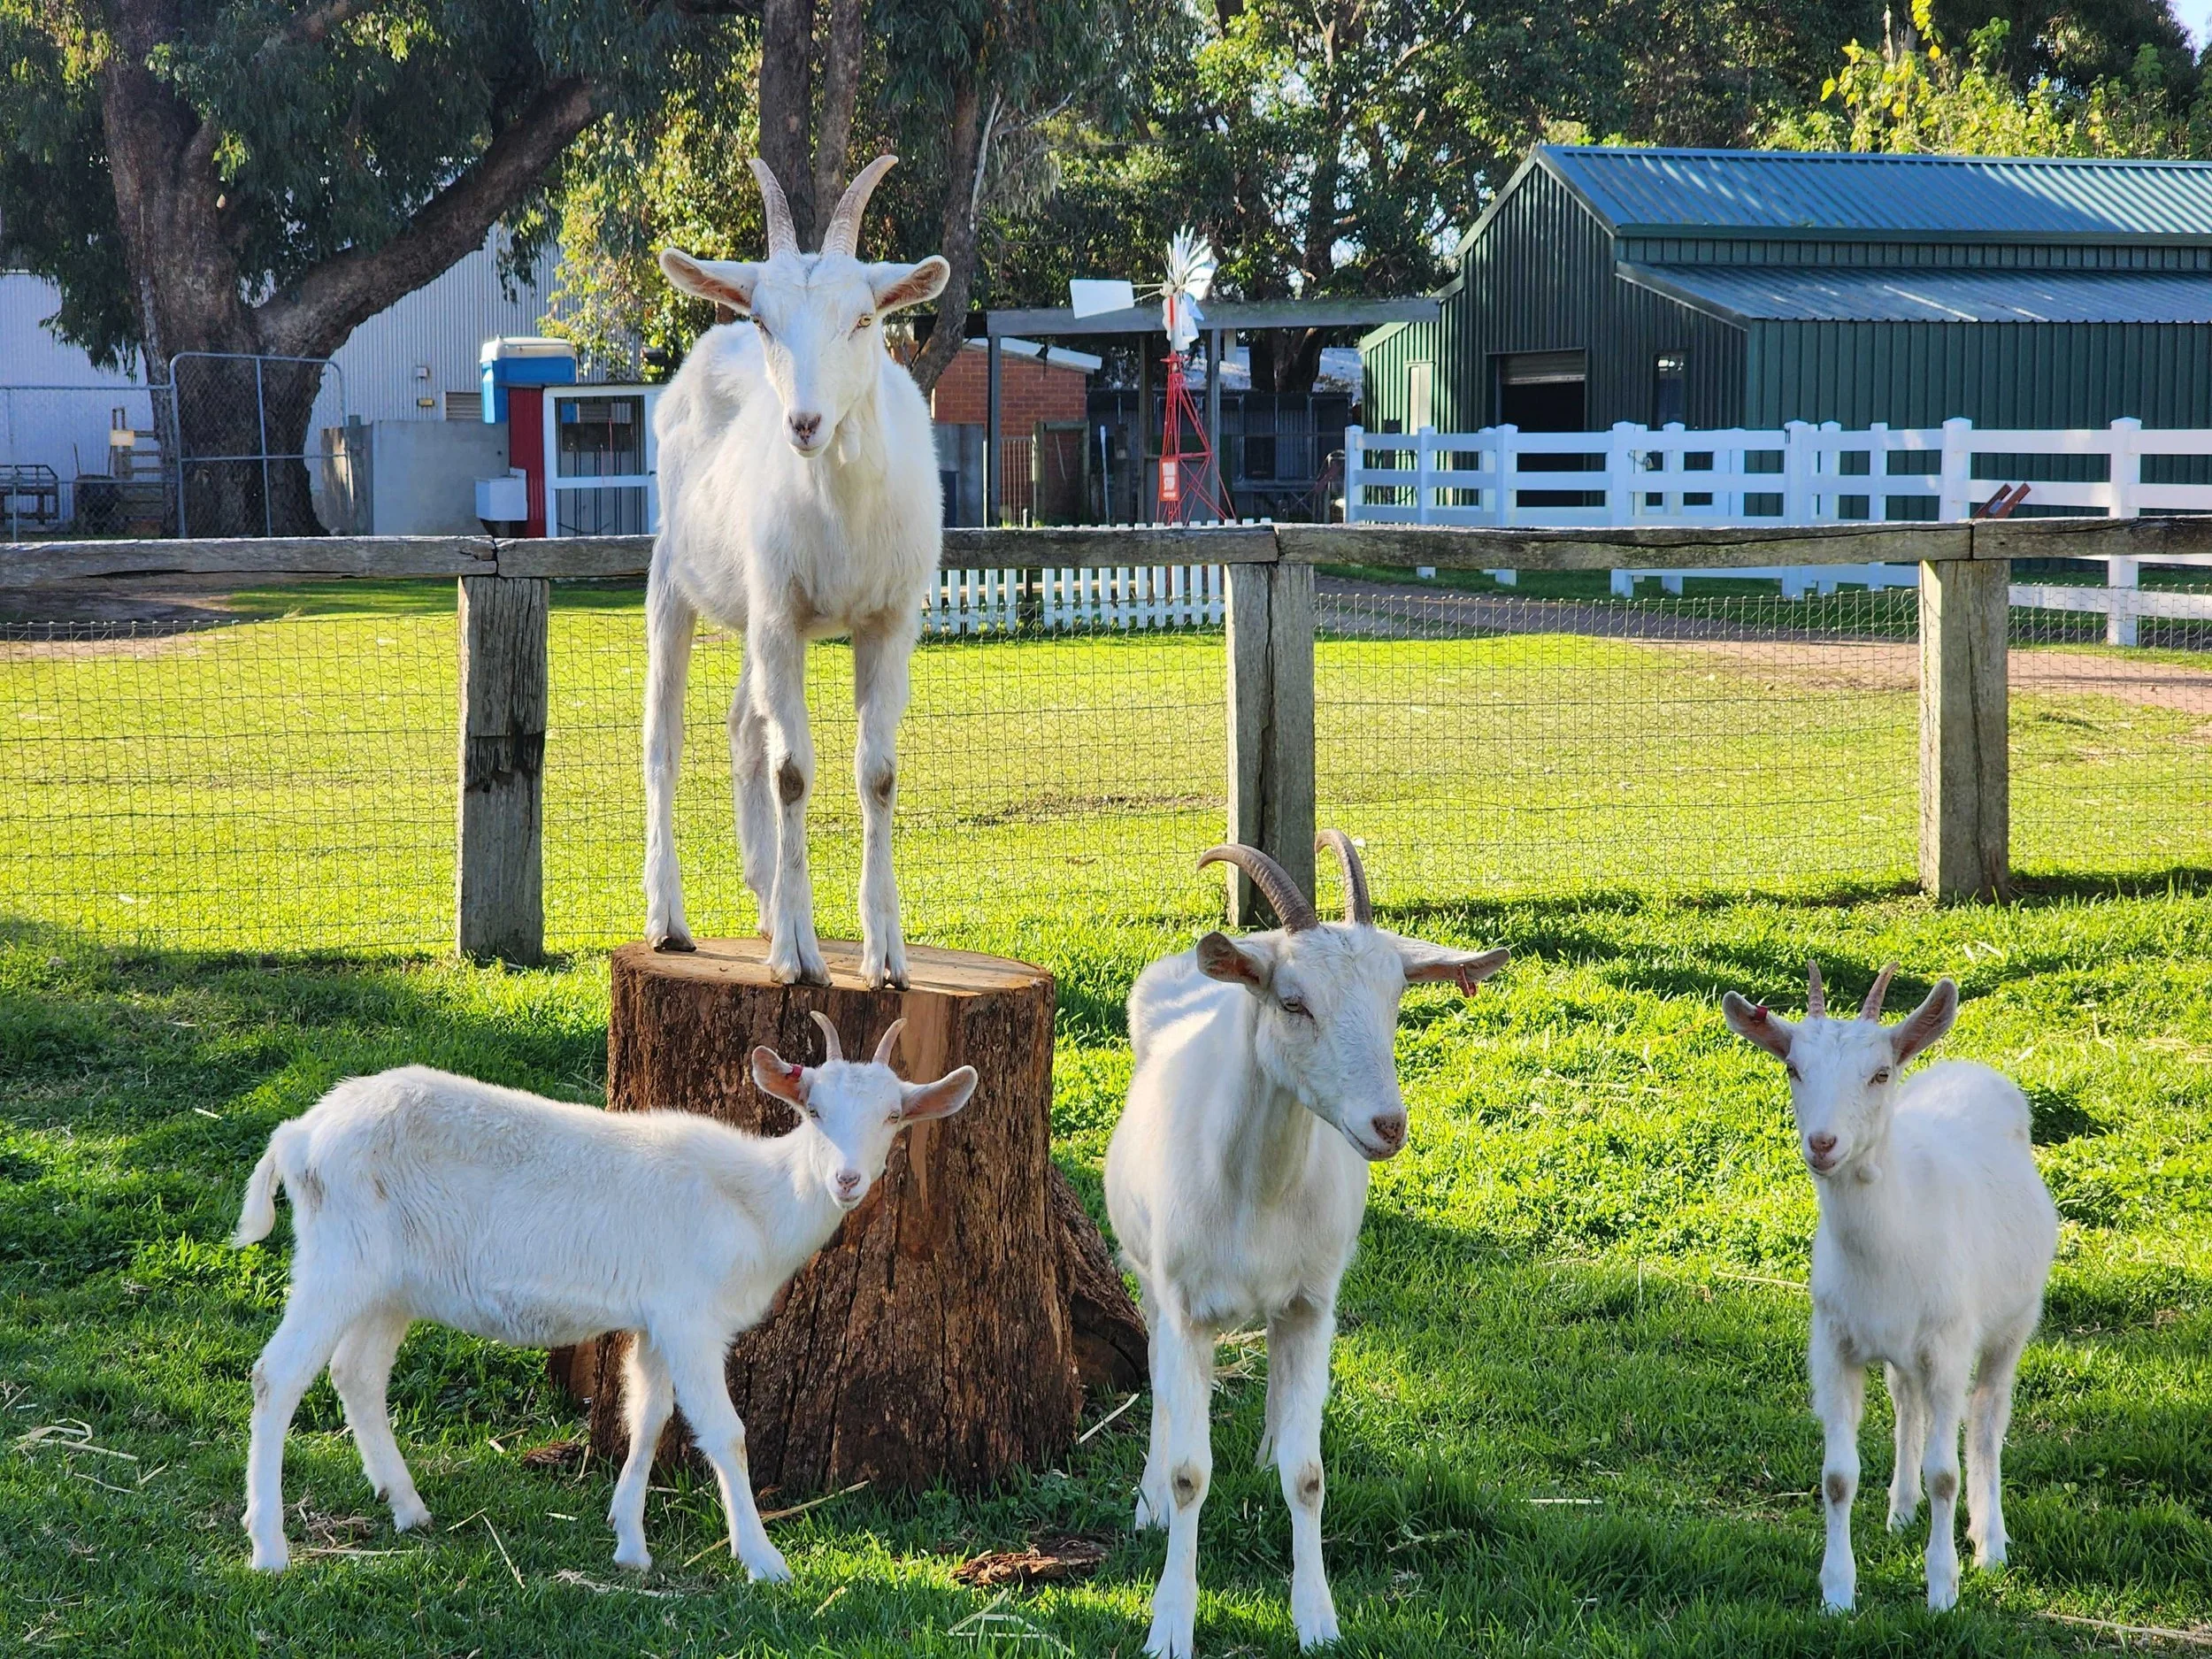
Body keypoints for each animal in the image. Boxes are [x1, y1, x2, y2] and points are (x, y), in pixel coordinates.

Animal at [231, 1014, 976, 1574]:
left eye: (894, 1116)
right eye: (814, 1109)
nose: (847, 1179)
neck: (753, 1200)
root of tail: (299, 1133)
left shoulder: (655, 1320)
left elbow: (646, 1416)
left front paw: (629, 1543)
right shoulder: (691, 1316)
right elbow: (725, 1432)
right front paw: (763, 1558)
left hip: (390, 1284)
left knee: (355, 1372)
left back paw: (409, 1507)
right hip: (339, 1257)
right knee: (278, 1374)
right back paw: (269, 1545)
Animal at [646, 154, 950, 989]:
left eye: (864, 319)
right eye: (765, 320)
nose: (805, 423)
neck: (841, 512)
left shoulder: (887, 621)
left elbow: (878, 772)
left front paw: (886, 953)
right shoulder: (781, 616)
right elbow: (793, 771)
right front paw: (798, 953)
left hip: (759, 613)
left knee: (743, 727)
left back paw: (763, 894)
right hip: (673, 576)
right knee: (665, 742)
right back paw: (671, 916)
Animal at [1104, 833, 1510, 1656]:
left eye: (1396, 1002)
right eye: (1293, 1002)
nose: (1388, 1124)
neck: (1256, 1191)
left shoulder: (1312, 1303)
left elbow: (1310, 1473)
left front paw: (1317, 1618)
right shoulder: (1186, 1303)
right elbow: (1193, 1469)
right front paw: (1170, 1621)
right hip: (1148, 1274)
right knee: (1158, 1375)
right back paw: (1149, 1497)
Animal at [1723, 961, 2056, 1613]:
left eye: (1880, 1073)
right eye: (1793, 1067)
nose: (1823, 1143)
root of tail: (1969, 1068)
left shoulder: (1949, 1344)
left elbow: (1946, 1473)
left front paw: (1943, 1589)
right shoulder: (1832, 1341)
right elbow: (1837, 1475)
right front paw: (1837, 1592)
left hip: (2013, 1320)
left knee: (1987, 1415)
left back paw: (1990, 1541)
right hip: (1902, 1348)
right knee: (1907, 1399)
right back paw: (1901, 1510)